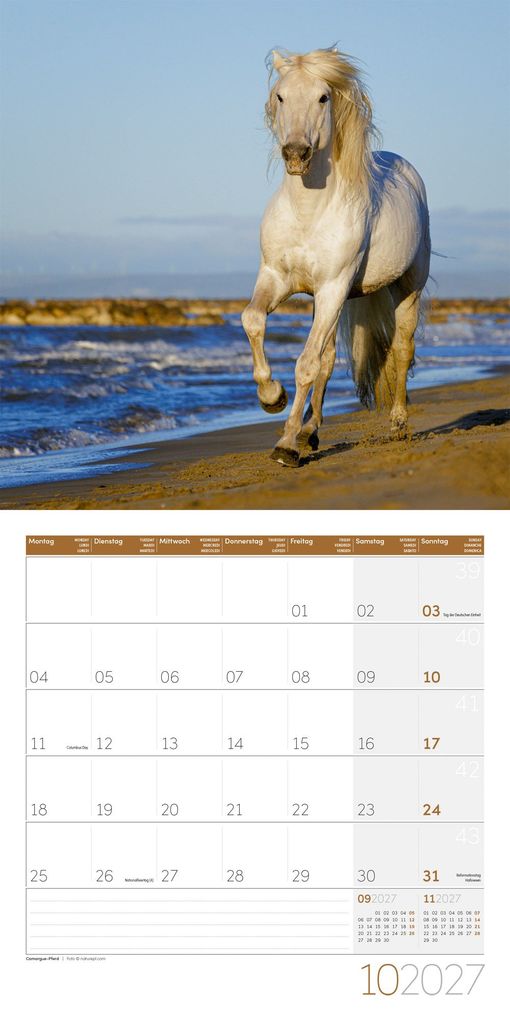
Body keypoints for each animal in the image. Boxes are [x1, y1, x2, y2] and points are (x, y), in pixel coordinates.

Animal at [242, 46, 431, 466]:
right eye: (280, 96)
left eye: (323, 97)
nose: (296, 154)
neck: (308, 212)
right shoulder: (277, 277)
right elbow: (253, 320)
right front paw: (272, 397)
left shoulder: (333, 287)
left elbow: (306, 364)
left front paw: (285, 446)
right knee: (329, 357)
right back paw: (311, 431)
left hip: (405, 287)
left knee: (402, 347)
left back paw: (398, 423)